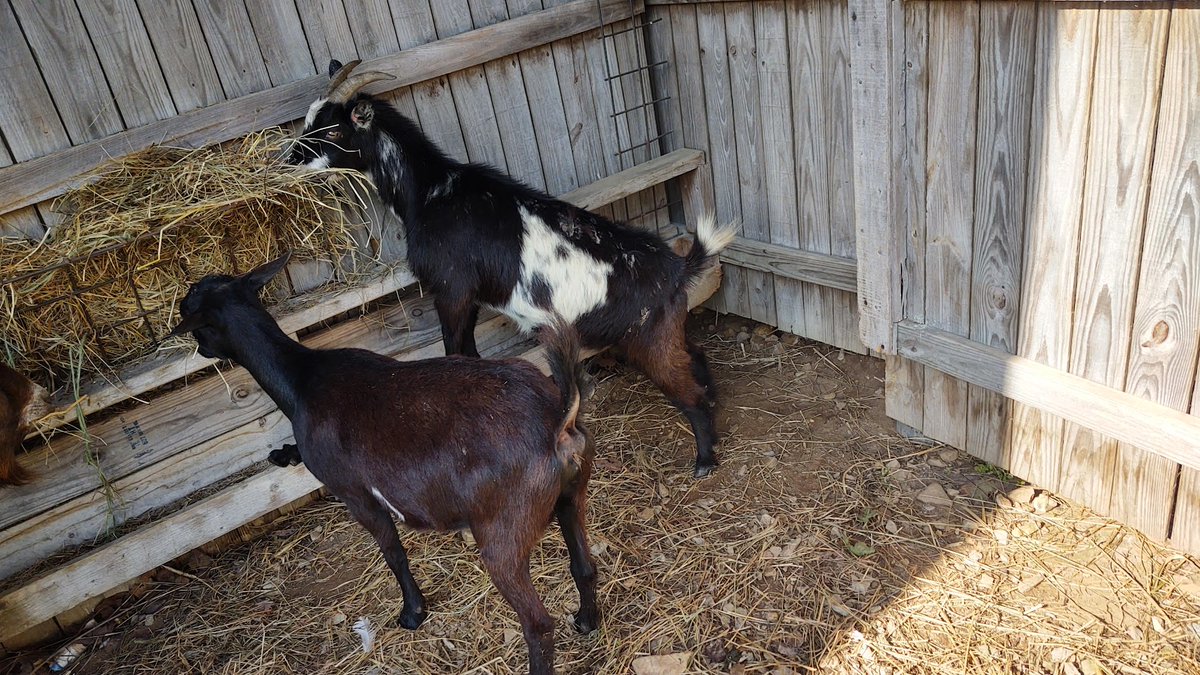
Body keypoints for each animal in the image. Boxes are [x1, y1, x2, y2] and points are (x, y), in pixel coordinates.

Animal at [168, 253, 598, 675]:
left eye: (190, 310)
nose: (201, 350)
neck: (302, 380)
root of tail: (557, 422)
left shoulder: (356, 493)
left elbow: (392, 551)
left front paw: (412, 613)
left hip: (503, 528)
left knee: (537, 623)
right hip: (572, 496)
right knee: (584, 566)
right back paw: (586, 621)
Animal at [289, 59, 737, 478]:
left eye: (332, 132)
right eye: (308, 120)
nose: (290, 159)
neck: (431, 192)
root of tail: (678, 267)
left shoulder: (451, 288)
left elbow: (455, 348)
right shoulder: (467, 295)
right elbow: (469, 352)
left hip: (648, 336)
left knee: (687, 387)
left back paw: (704, 459)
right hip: (664, 328)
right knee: (696, 357)